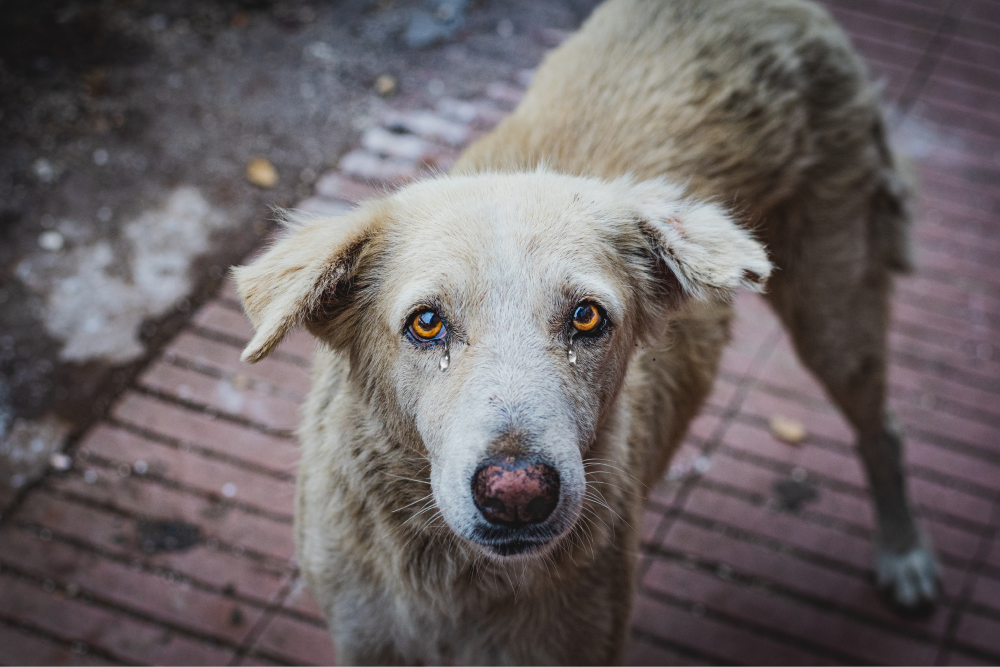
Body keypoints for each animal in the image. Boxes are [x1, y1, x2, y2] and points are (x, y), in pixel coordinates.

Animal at [234, 2, 936, 664]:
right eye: (426, 323)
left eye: (586, 317)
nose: (517, 495)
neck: (460, 583)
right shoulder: (365, 639)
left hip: (835, 310)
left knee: (884, 429)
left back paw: (904, 556)